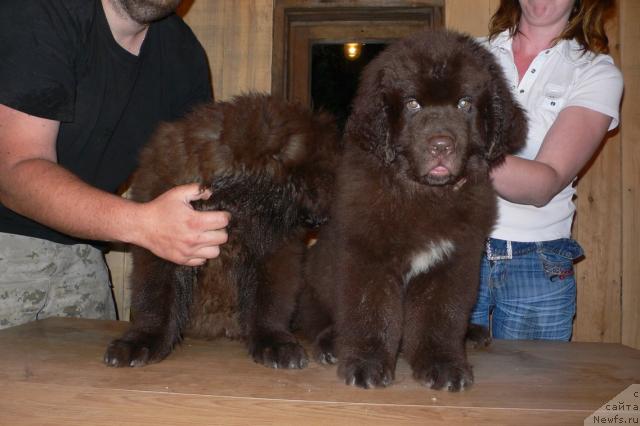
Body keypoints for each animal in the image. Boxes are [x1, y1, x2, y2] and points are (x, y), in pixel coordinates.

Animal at [104, 93, 340, 370]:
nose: (322, 219)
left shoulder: (276, 251)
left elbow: (269, 301)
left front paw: (274, 343)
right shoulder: (160, 239)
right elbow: (155, 298)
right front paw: (141, 341)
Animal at [298, 28, 528, 392]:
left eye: (465, 103)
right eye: (412, 104)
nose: (441, 145)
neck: (423, 194)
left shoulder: (452, 262)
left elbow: (441, 317)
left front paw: (443, 365)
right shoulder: (368, 257)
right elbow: (370, 312)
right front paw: (366, 364)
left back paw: (473, 333)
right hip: (315, 286)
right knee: (316, 320)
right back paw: (330, 343)